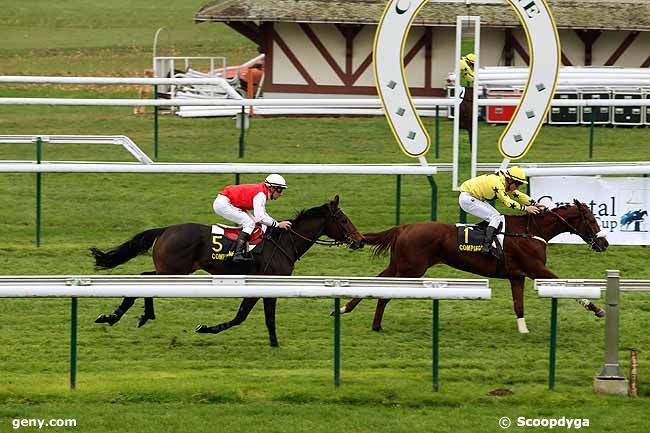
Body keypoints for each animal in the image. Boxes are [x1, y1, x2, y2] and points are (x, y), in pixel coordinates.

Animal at [90, 195, 364, 344]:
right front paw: (275, 344)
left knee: (145, 281)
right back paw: (125, 316)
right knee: (144, 279)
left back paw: (127, 316)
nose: (360, 240)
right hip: (174, 270)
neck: (284, 243)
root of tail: (166, 229)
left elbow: (244, 316)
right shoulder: (269, 283)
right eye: (343, 219)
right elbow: (259, 317)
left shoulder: (260, 286)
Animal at [340, 199, 608, 334]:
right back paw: (373, 323)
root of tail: (403, 227)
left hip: (401, 265)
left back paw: (346, 309)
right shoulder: (536, 269)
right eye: (591, 219)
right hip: (410, 270)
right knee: (385, 291)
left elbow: (518, 305)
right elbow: (566, 285)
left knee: (376, 282)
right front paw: (597, 309)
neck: (531, 232)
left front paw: (523, 330)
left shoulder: (517, 275)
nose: (604, 243)